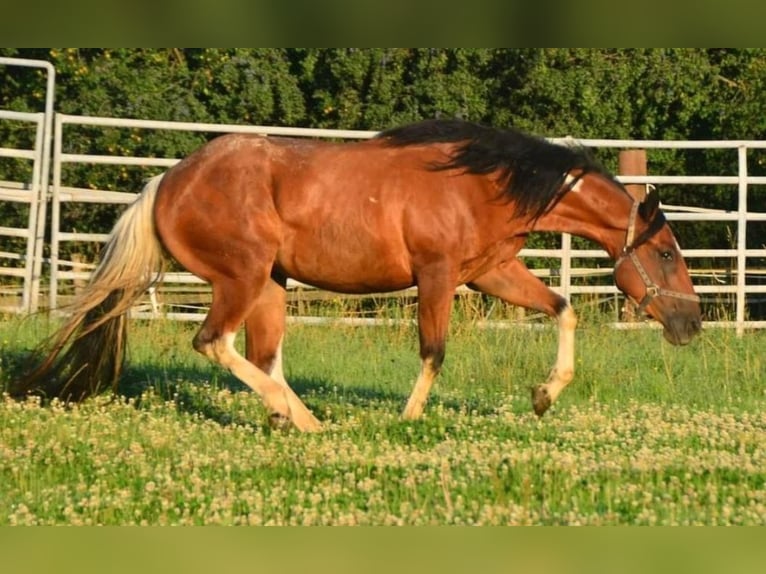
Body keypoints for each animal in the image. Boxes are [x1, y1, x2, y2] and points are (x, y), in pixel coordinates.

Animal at [15, 120, 704, 432]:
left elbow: (562, 307)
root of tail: (166, 183)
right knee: (215, 343)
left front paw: (543, 395)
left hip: (271, 284)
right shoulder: (437, 275)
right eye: (668, 253)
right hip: (241, 277)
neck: (481, 183)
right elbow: (434, 350)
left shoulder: (489, 272)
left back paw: (298, 420)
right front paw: (408, 418)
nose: (691, 324)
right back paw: (296, 417)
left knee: (263, 356)